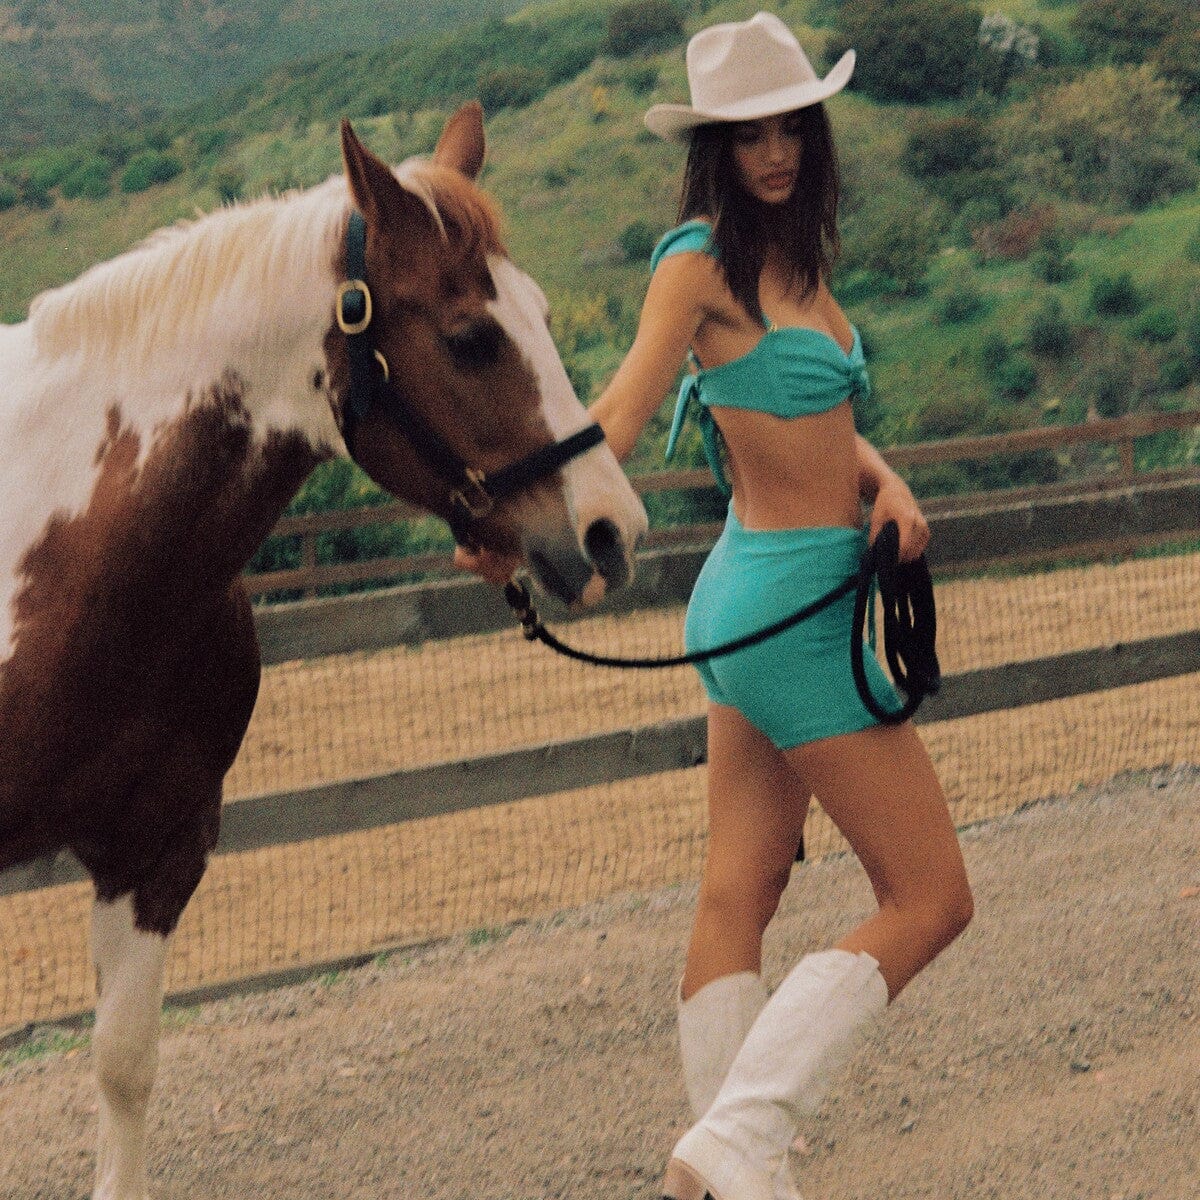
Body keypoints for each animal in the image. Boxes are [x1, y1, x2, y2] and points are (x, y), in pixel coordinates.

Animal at [0, 105, 648, 1200]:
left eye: (544, 314)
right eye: (471, 339)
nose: (610, 531)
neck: (58, 554)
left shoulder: (154, 853)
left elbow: (125, 1069)